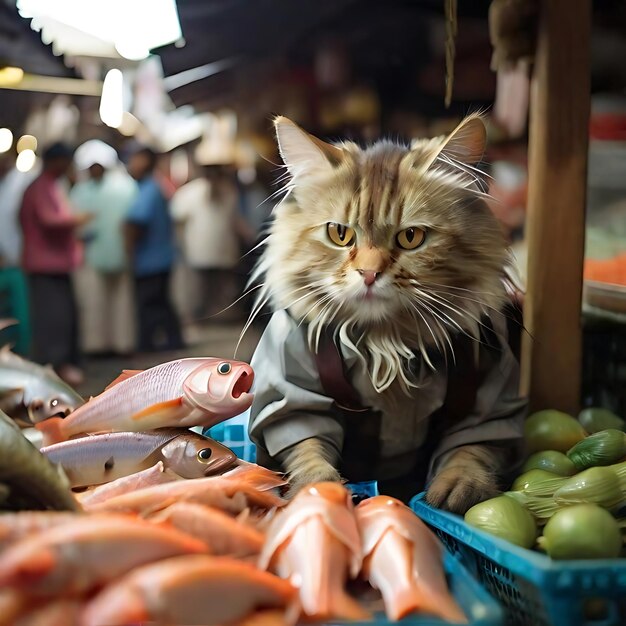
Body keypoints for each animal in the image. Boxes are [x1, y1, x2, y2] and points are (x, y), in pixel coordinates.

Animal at [246, 112, 524, 512]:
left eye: (411, 238)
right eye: (339, 234)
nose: (369, 273)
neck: (386, 340)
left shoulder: (489, 399)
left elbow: (471, 447)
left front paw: (459, 488)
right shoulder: (293, 395)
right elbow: (307, 447)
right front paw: (317, 490)